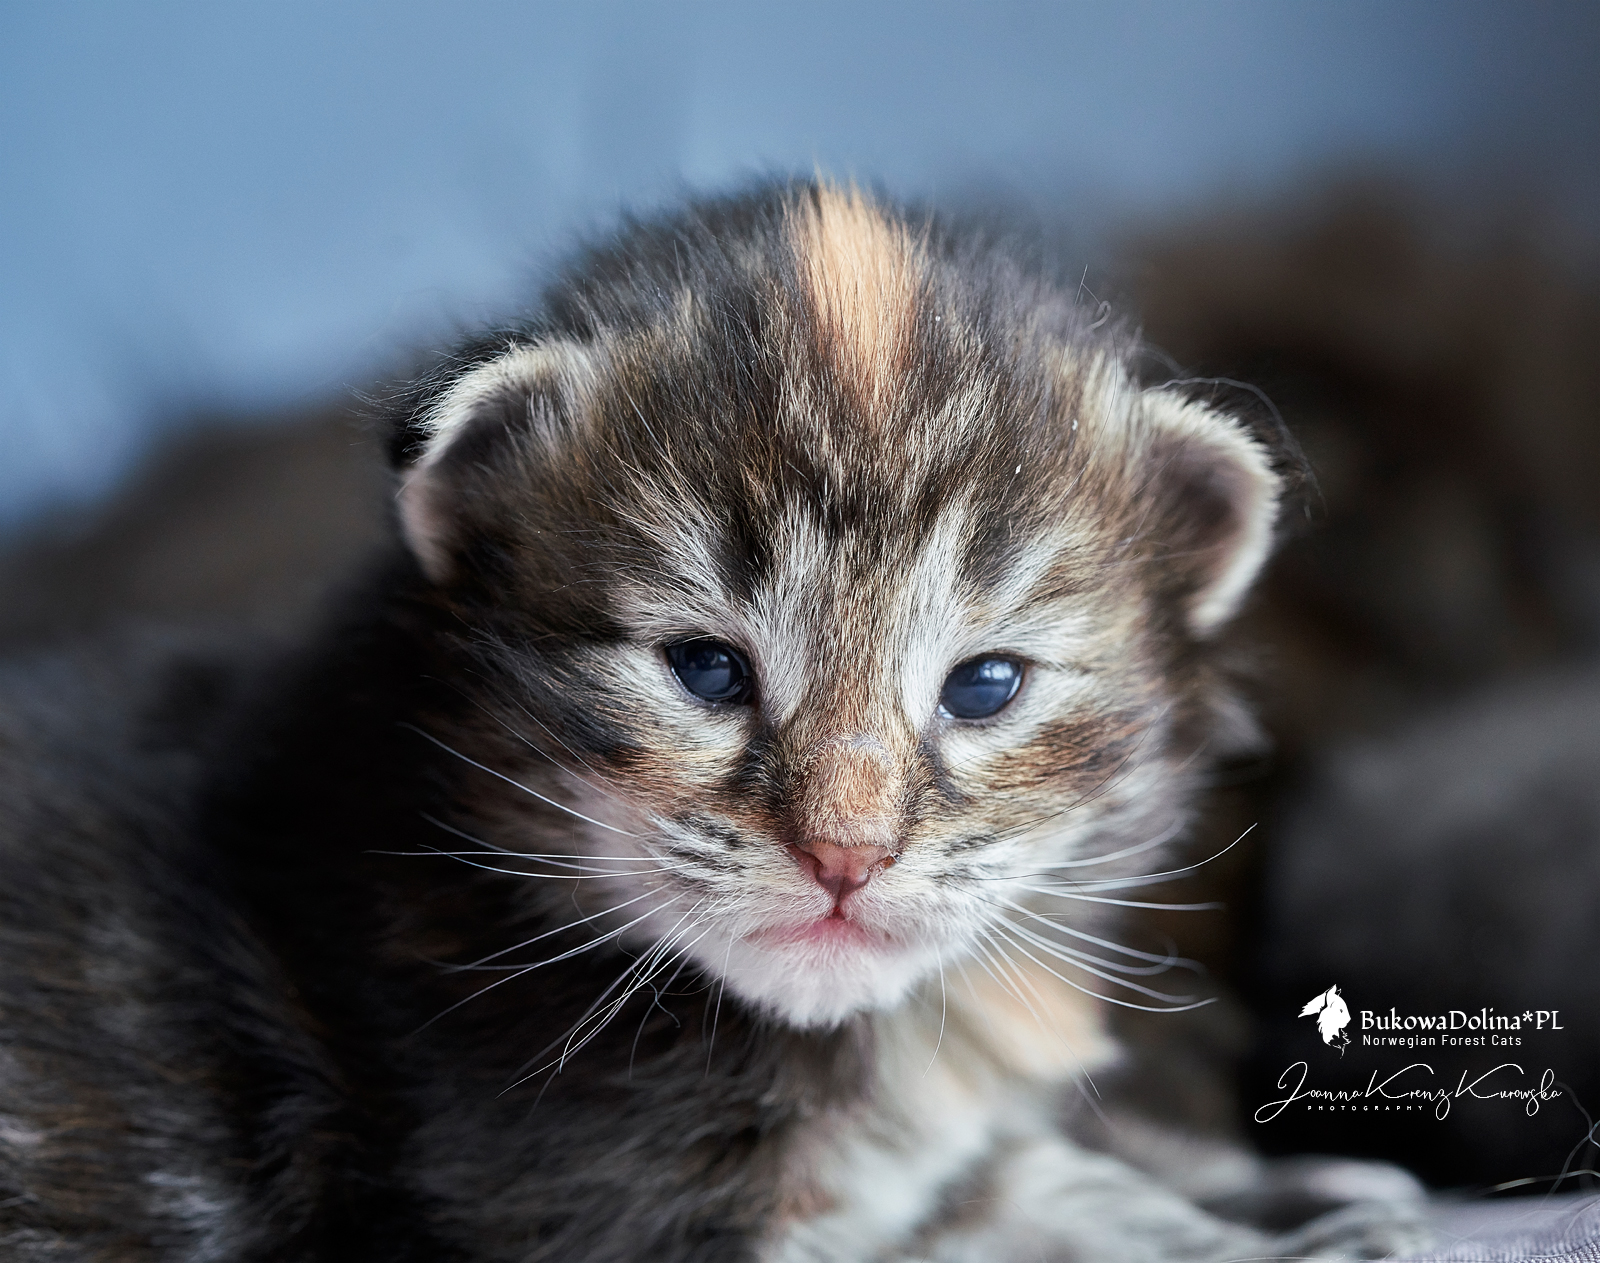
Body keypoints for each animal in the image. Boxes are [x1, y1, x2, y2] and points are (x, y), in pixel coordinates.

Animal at [0, 180, 1431, 1261]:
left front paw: (1264, 1182)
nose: (845, 857)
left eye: (983, 686)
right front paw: (1248, 1230)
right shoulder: (588, 1211)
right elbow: (987, 1213)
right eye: (706, 671)